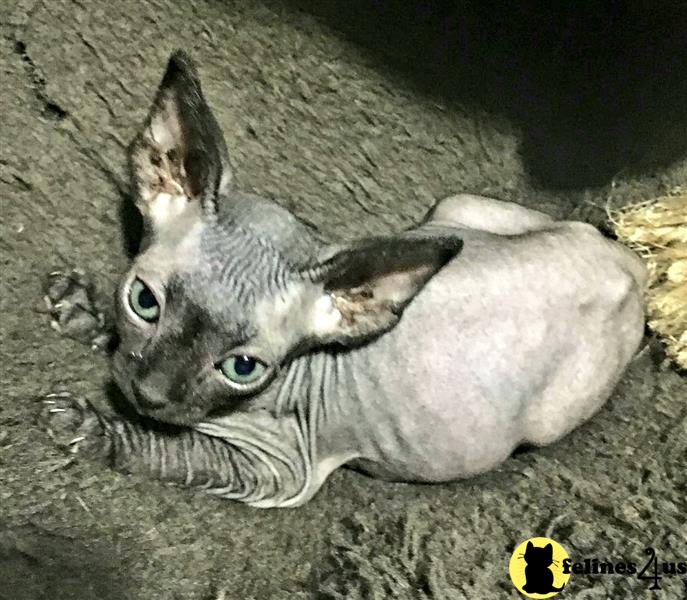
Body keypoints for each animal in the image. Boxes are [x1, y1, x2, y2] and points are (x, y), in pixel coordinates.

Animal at [40, 51, 648, 508]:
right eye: (143, 301)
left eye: (243, 368)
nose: (150, 394)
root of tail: (624, 260)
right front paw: (83, 311)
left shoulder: (282, 470)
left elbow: (182, 451)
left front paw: (96, 430)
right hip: (455, 211)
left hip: (549, 418)